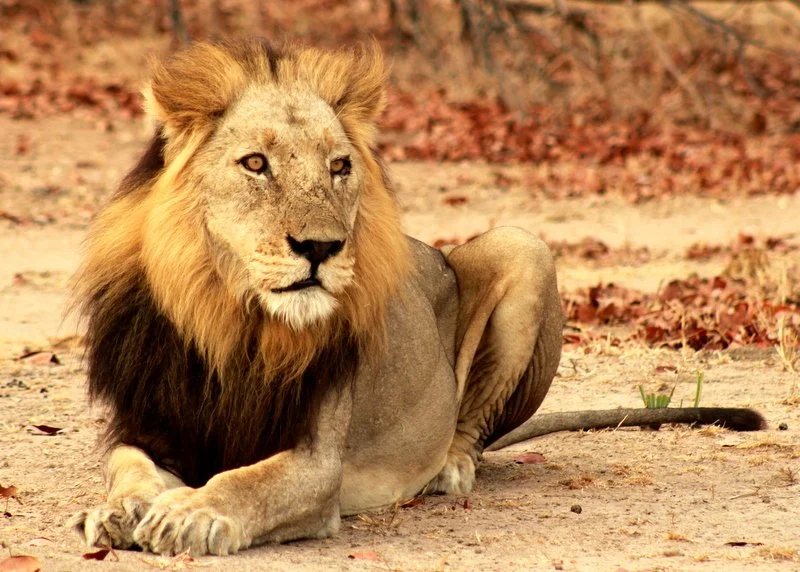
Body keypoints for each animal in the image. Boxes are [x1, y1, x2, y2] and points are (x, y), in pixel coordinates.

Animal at [68, 38, 765, 556]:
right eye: (256, 164)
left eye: (339, 167)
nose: (321, 247)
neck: (233, 320)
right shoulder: (145, 424)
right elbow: (126, 467)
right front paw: (119, 510)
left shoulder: (318, 465)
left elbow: (248, 480)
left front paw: (192, 511)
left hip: (524, 247)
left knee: (471, 425)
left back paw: (447, 470)